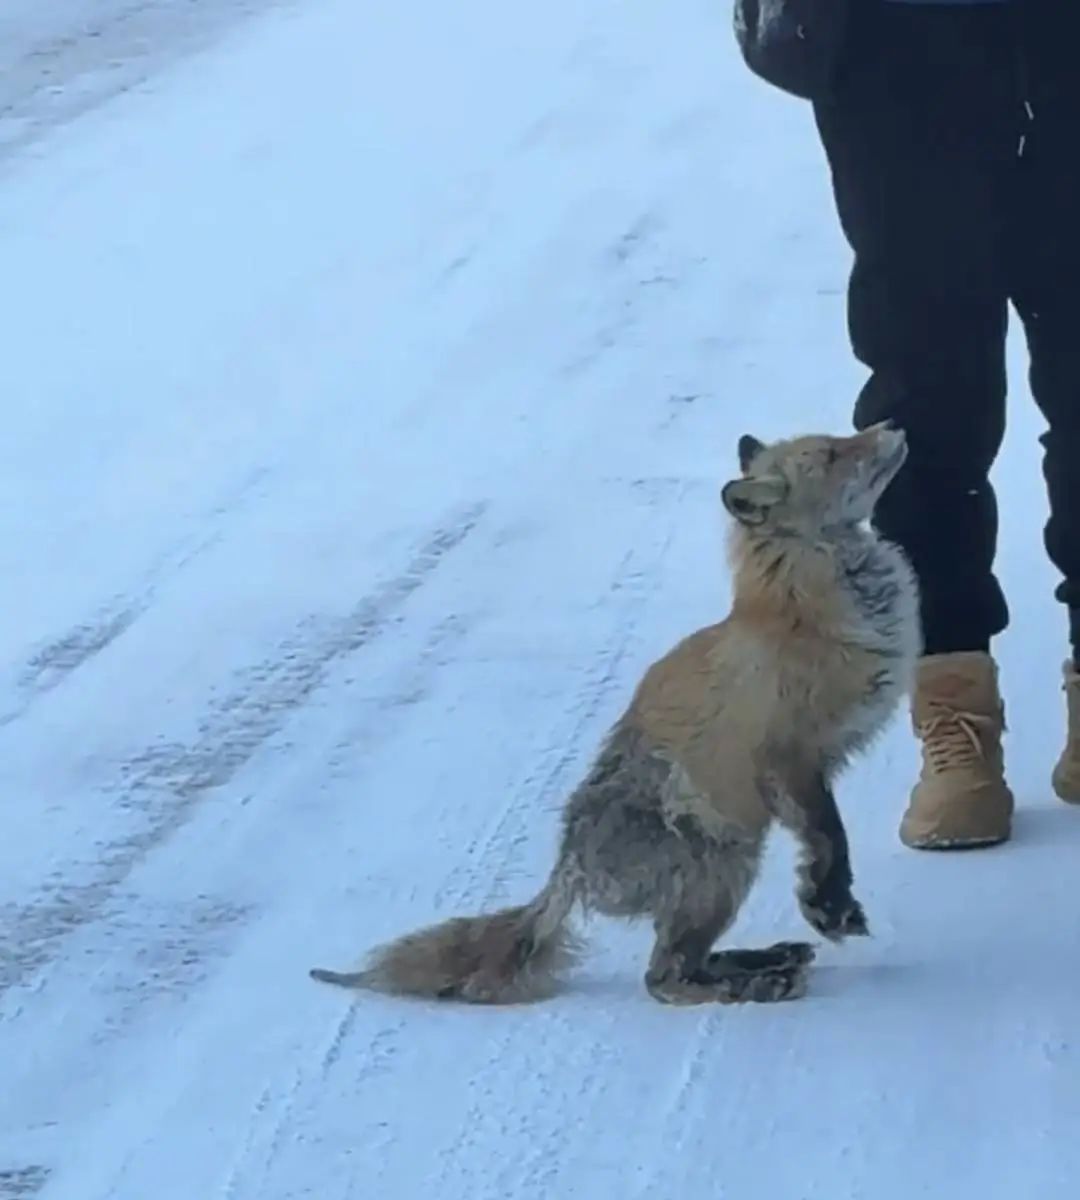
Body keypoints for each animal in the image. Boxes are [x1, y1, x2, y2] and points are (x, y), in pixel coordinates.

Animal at [309, 420, 921, 1003]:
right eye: (834, 453)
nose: (893, 424)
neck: (809, 614)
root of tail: (568, 863)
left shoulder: (813, 763)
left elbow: (827, 836)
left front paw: (828, 905)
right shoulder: (788, 759)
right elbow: (829, 837)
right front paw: (830, 904)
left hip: (723, 877)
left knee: (682, 963)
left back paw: (764, 963)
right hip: (720, 870)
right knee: (664, 978)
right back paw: (752, 984)